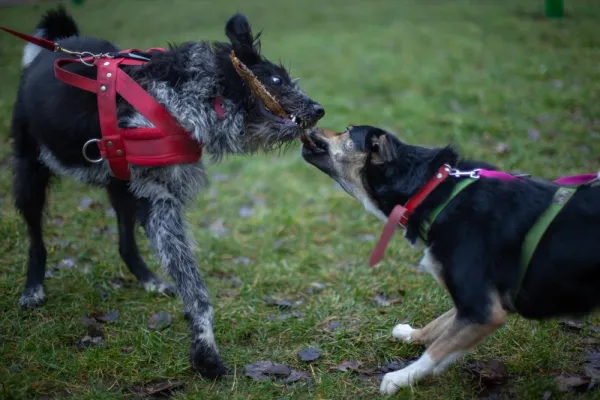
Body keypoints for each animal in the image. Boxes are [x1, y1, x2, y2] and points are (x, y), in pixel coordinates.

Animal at [10, 5, 324, 378]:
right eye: (276, 80)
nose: (319, 109)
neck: (193, 94)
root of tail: (56, 45)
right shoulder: (161, 202)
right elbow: (195, 289)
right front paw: (206, 354)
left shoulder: (153, 196)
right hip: (30, 173)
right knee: (36, 239)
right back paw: (32, 289)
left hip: (120, 186)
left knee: (125, 242)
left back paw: (149, 280)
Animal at [302, 125, 600, 394]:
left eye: (347, 131)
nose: (315, 122)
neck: (432, 190)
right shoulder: (474, 303)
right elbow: (439, 325)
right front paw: (411, 334)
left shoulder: (483, 311)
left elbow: (437, 350)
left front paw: (399, 379)